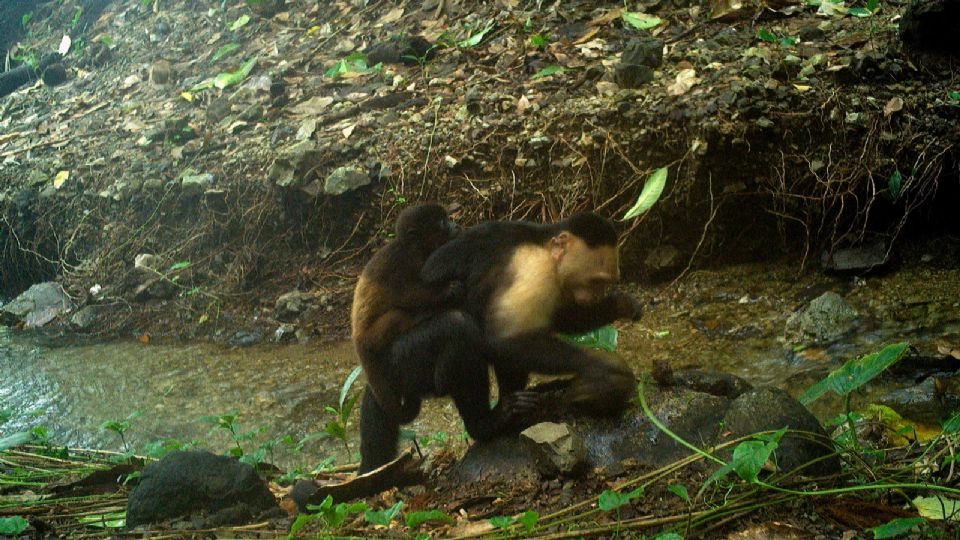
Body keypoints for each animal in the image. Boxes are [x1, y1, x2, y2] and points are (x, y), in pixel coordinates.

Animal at [353, 204, 538, 473]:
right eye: (441, 222)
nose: (454, 224)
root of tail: (360, 343)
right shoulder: (404, 262)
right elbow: (409, 292)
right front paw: (449, 291)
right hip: (389, 348)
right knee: (455, 324)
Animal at [419, 212, 643, 416]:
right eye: (596, 281)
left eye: (606, 283)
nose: (597, 296)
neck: (545, 247)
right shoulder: (536, 272)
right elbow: (505, 339)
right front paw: (604, 369)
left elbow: (563, 319)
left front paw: (622, 304)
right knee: (463, 329)